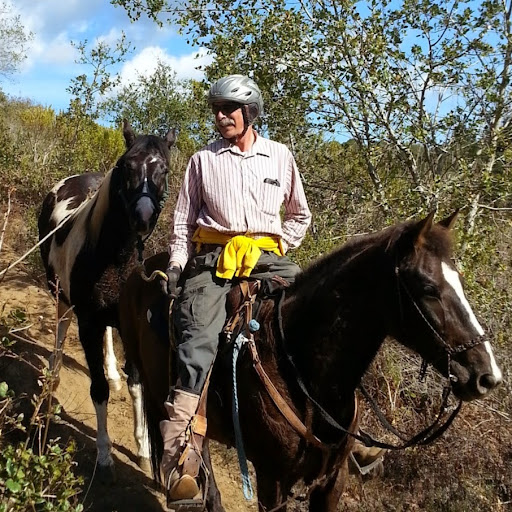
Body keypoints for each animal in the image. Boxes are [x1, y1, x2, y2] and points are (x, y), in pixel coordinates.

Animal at [38, 120, 176, 480]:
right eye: (126, 165)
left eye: (164, 170)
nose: (142, 217)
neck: (115, 258)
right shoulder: (87, 323)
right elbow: (97, 389)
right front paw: (104, 454)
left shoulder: (128, 324)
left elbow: (137, 385)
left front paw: (143, 449)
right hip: (58, 291)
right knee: (61, 323)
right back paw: (54, 374)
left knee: (109, 339)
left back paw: (113, 371)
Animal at [116, 211, 500, 508]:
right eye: (426, 287)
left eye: (459, 280)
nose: (487, 376)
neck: (303, 371)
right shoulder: (272, 481)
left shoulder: (332, 482)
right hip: (155, 384)